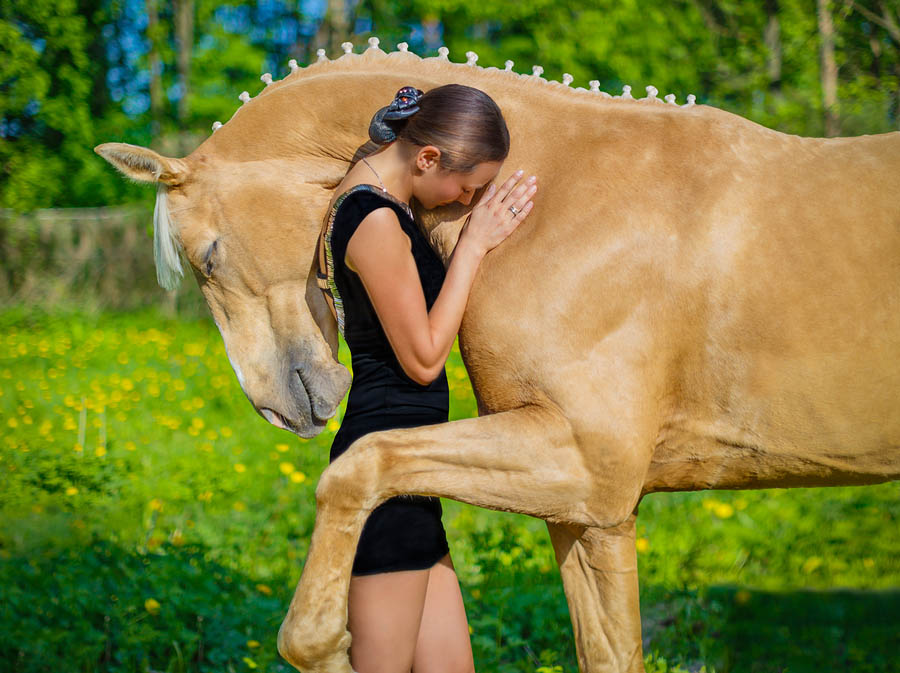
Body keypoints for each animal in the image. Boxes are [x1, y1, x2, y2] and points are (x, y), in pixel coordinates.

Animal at [95, 39, 896, 672]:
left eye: (207, 256)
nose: (284, 406)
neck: (559, 199)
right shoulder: (586, 509)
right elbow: (608, 650)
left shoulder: (585, 464)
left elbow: (358, 468)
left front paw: (321, 643)